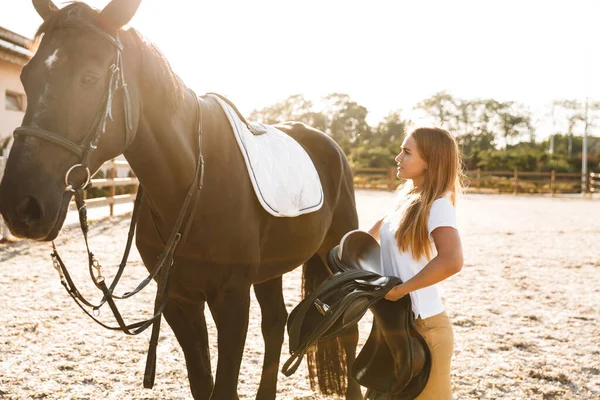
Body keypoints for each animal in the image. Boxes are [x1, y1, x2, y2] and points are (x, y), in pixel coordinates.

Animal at [0, 0, 360, 400]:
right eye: (27, 77)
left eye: (89, 78)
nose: (21, 206)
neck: (194, 182)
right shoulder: (177, 300)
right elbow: (202, 381)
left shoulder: (232, 299)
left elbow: (224, 386)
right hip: (272, 269)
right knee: (275, 324)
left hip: (336, 256)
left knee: (347, 328)